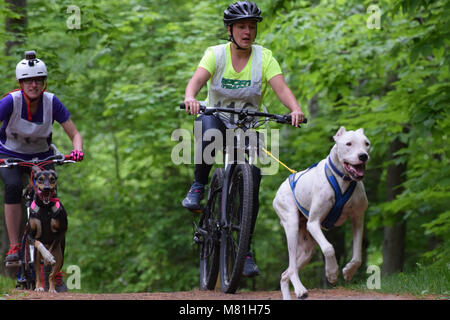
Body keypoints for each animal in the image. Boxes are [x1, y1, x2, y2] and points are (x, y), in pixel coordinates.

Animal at [272, 126, 370, 298]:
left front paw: (348, 271)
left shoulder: (358, 219)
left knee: (285, 273)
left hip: (307, 249)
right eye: (349, 143)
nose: (363, 156)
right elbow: (328, 248)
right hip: (292, 226)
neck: (343, 179)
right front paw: (332, 272)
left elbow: (358, 255)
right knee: (292, 268)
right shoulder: (313, 223)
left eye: (367, 144)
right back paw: (300, 289)